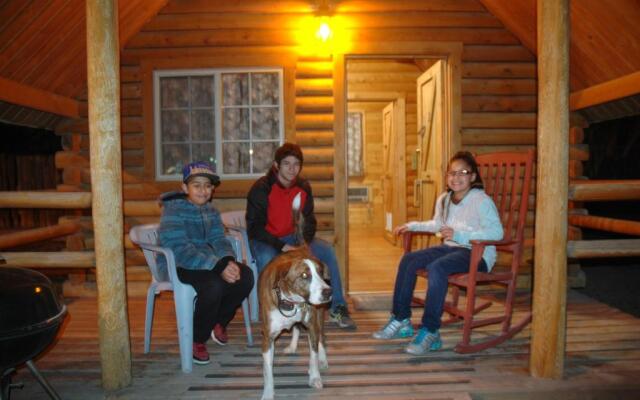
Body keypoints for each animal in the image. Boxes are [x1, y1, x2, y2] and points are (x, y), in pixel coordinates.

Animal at [258, 194, 332, 400]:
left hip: (319, 316)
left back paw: (323, 358)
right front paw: (268, 392)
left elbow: (313, 354)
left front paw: (314, 376)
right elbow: (267, 371)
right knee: (297, 328)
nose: (328, 291)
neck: (292, 302)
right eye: (305, 276)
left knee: (321, 338)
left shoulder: (312, 324)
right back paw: (292, 345)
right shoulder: (267, 338)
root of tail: (301, 247)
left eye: (320, 273)